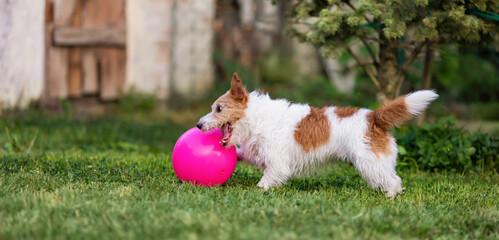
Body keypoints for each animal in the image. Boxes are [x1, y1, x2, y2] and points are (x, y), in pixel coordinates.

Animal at [197, 73, 440, 197]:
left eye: (219, 108)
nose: (198, 125)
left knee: (394, 180)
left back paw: (390, 198)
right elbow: (243, 154)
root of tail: (373, 117)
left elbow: (264, 182)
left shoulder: (277, 163)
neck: (255, 118)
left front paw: (257, 192)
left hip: (370, 162)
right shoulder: (259, 153)